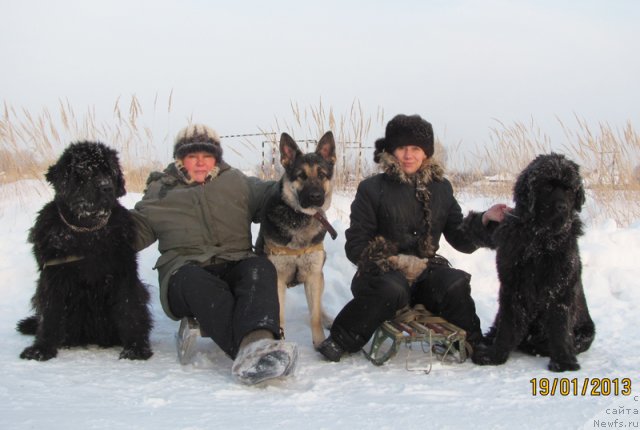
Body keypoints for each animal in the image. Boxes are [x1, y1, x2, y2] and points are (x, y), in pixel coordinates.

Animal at [16, 141, 152, 360]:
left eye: (110, 171)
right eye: (86, 171)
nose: (106, 187)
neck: (87, 231)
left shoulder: (123, 273)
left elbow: (129, 308)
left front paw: (136, 348)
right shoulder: (53, 275)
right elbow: (50, 313)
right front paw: (41, 349)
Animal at [258, 132, 338, 350]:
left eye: (322, 175)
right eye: (301, 176)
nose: (316, 197)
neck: (300, 218)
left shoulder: (313, 276)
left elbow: (314, 317)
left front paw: (320, 343)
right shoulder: (277, 278)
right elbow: (279, 316)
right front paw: (279, 343)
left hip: (319, 277)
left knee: (318, 307)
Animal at [472, 153, 596, 372]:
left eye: (569, 189)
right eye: (547, 187)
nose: (562, 207)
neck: (540, 240)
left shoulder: (560, 287)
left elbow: (561, 327)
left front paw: (564, 361)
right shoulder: (512, 287)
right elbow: (507, 325)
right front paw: (495, 356)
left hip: (586, 333)